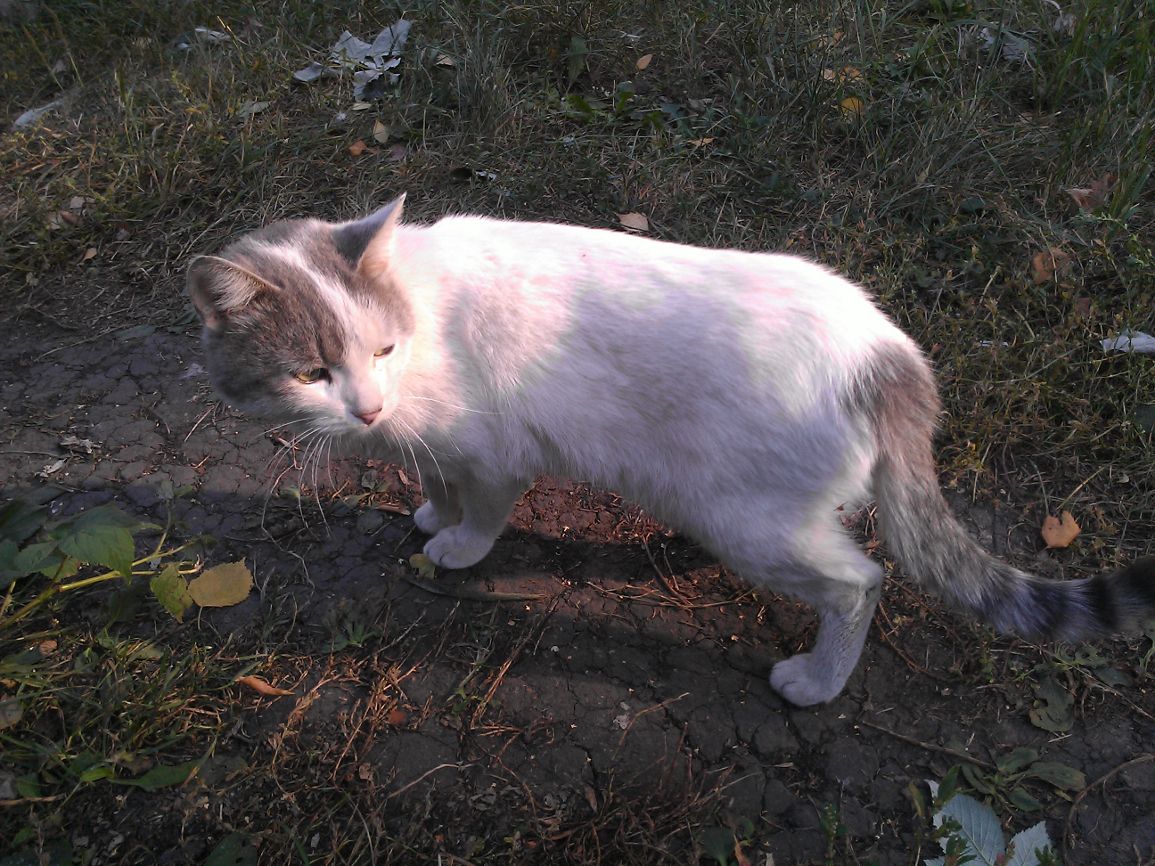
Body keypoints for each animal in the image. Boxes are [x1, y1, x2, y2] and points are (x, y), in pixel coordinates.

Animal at [186, 194, 1155, 707]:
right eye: (312, 373)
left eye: (382, 350)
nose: (367, 403)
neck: (417, 313)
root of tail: (884, 352)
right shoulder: (425, 443)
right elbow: (435, 479)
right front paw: (429, 511)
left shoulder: (497, 456)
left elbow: (482, 512)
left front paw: (455, 546)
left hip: (751, 525)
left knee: (861, 583)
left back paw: (816, 680)